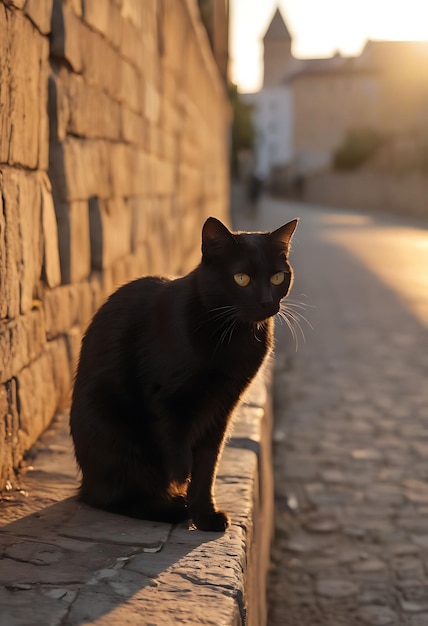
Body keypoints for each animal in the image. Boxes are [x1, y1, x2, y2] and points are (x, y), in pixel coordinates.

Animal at [70, 217, 298, 528]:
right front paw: (183, 485)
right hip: (114, 427)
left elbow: (207, 465)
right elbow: (180, 455)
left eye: (277, 278)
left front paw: (205, 516)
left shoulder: (223, 407)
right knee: (111, 496)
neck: (234, 334)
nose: (266, 302)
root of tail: (85, 481)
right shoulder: (168, 398)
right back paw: (170, 507)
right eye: (241, 278)